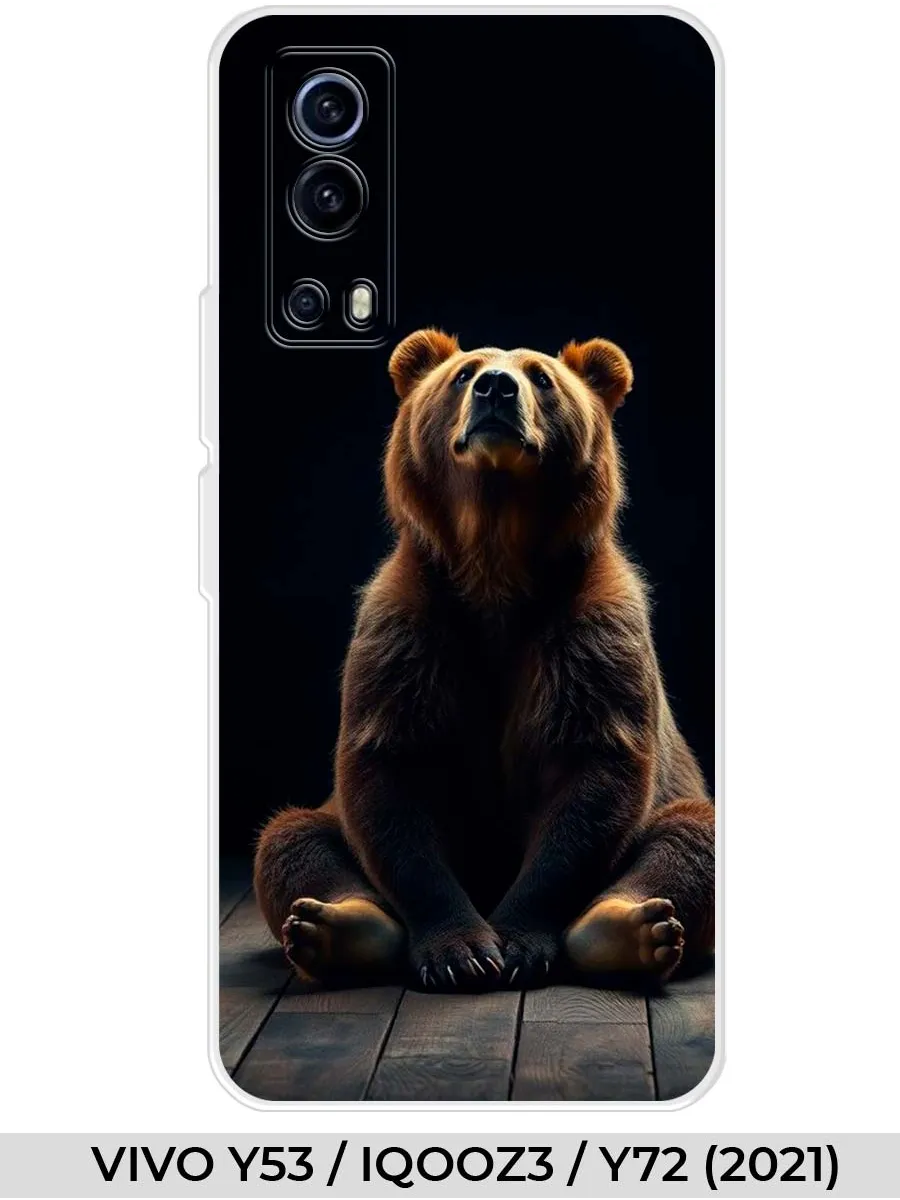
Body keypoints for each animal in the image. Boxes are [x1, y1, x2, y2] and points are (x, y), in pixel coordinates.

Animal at [253, 329, 715, 990]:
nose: (496, 387)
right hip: (326, 816)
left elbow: (595, 773)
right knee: (289, 836)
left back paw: (628, 929)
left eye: (542, 376)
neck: (495, 560)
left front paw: (517, 941)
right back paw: (338, 926)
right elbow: (388, 772)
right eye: (464, 372)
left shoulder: (592, 631)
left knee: (693, 832)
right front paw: (461, 950)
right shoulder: (406, 629)